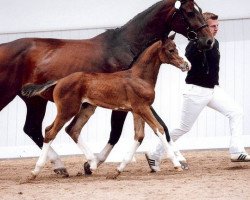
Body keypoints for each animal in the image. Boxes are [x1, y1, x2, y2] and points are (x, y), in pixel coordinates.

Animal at [22, 34, 190, 178]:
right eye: (171, 50)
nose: (187, 65)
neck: (139, 77)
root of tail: (59, 81)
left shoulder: (137, 111)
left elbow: (139, 136)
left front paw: (119, 169)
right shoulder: (142, 108)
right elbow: (159, 129)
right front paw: (177, 165)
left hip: (86, 108)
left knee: (71, 129)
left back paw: (92, 164)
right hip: (67, 110)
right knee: (50, 132)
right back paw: (36, 171)